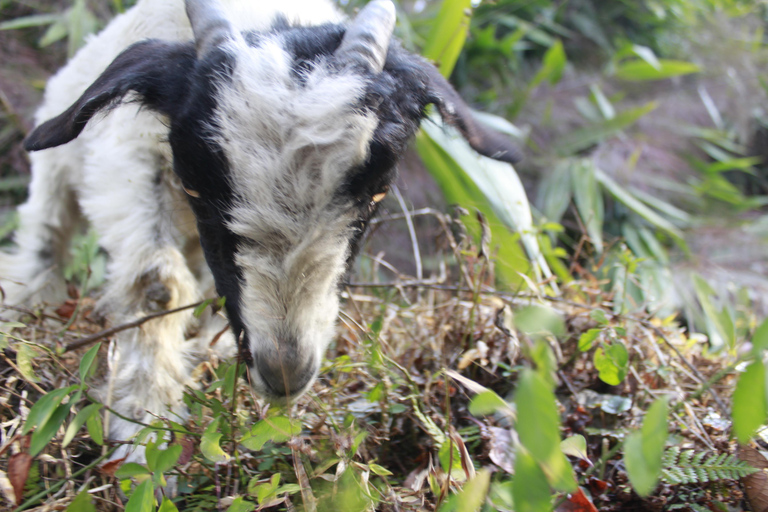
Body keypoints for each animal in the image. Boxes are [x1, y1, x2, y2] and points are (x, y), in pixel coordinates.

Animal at [4, 0, 516, 460]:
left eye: (377, 193)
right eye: (193, 184)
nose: (285, 373)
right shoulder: (132, 161)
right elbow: (157, 284)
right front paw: (145, 426)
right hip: (57, 167)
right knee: (45, 234)